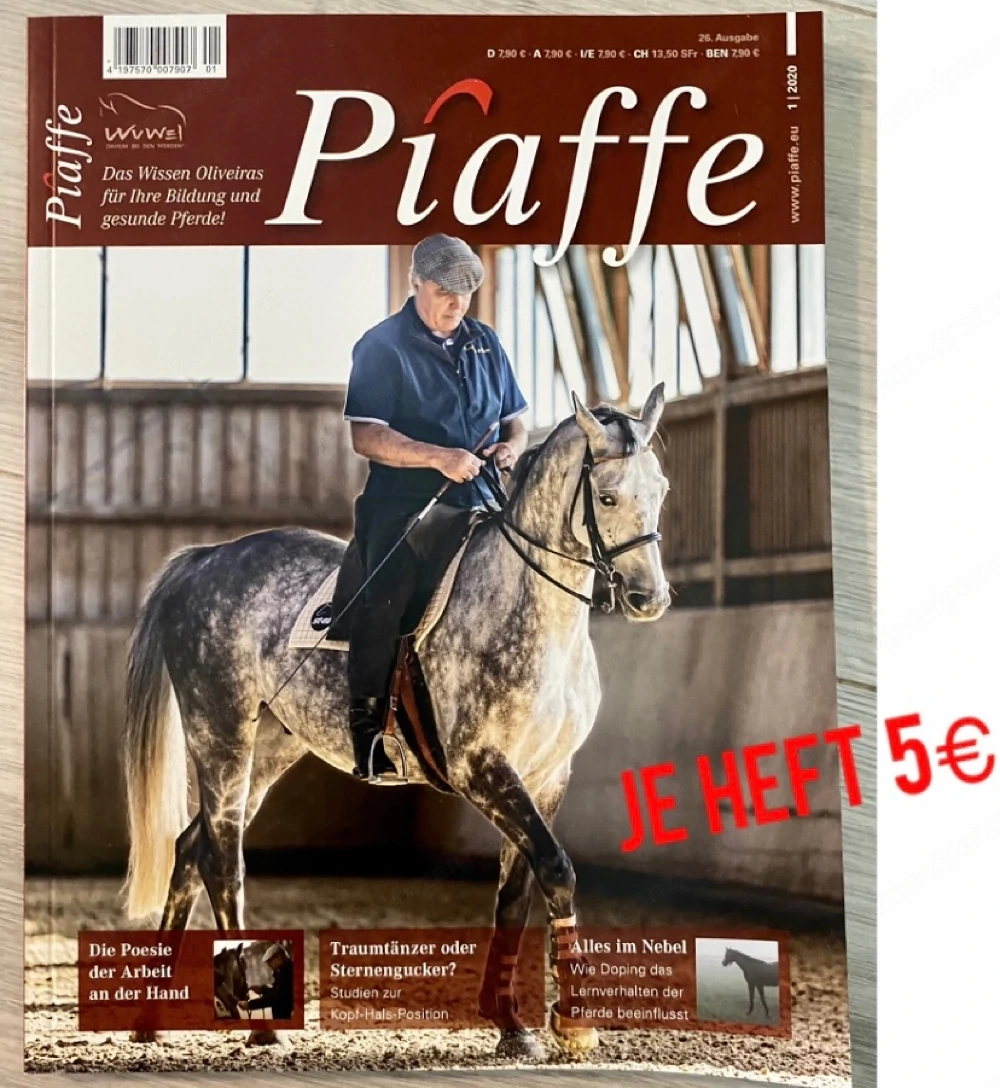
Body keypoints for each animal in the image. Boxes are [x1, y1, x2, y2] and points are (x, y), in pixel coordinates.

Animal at [121, 385, 670, 1058]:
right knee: (222, 861)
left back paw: (151, 1016)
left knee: (189, 848)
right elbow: (556, 868)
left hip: (269, 750)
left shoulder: (546, 774)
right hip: (221, 736)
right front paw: (572, 1023)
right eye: (608, 495)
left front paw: (511, 1024)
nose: (649, 599)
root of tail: (204, 560)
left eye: (661, 488)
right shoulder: (481, 767)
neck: (531, 609)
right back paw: (260, 1028)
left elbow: (517, 891)